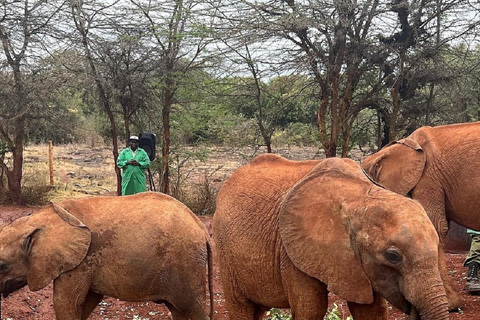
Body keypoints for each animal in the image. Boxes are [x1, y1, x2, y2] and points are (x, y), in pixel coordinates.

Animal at [0, 191, 212, 320]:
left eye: (2, 265)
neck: (41, 218)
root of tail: (202, 229)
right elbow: (86, 302)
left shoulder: (79, 262)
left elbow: (66, 303)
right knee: (179, 310)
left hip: (187, 264)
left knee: (192, 309)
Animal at [214, 155, 450, 320]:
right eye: (393, 256)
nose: (413, 309)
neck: (362, 195)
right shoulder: (293, 251)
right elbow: (311, 309)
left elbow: (371, 311)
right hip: (224, 251)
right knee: (241, 308)